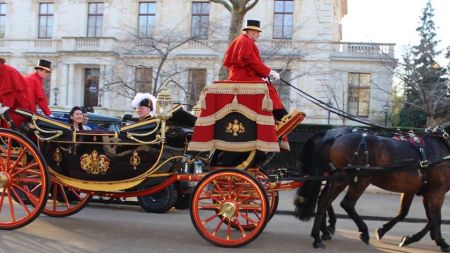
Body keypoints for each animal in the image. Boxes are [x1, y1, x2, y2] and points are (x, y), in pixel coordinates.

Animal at [294, 124, 450, 251]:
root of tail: (335, 137)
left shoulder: (420, 191)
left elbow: (413, 215)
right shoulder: (437, 192)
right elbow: (434, 218)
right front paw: (423, 240)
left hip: (339, 178)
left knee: (324, 200)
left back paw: (324, 232)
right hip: (354, 179)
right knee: (340, 203)